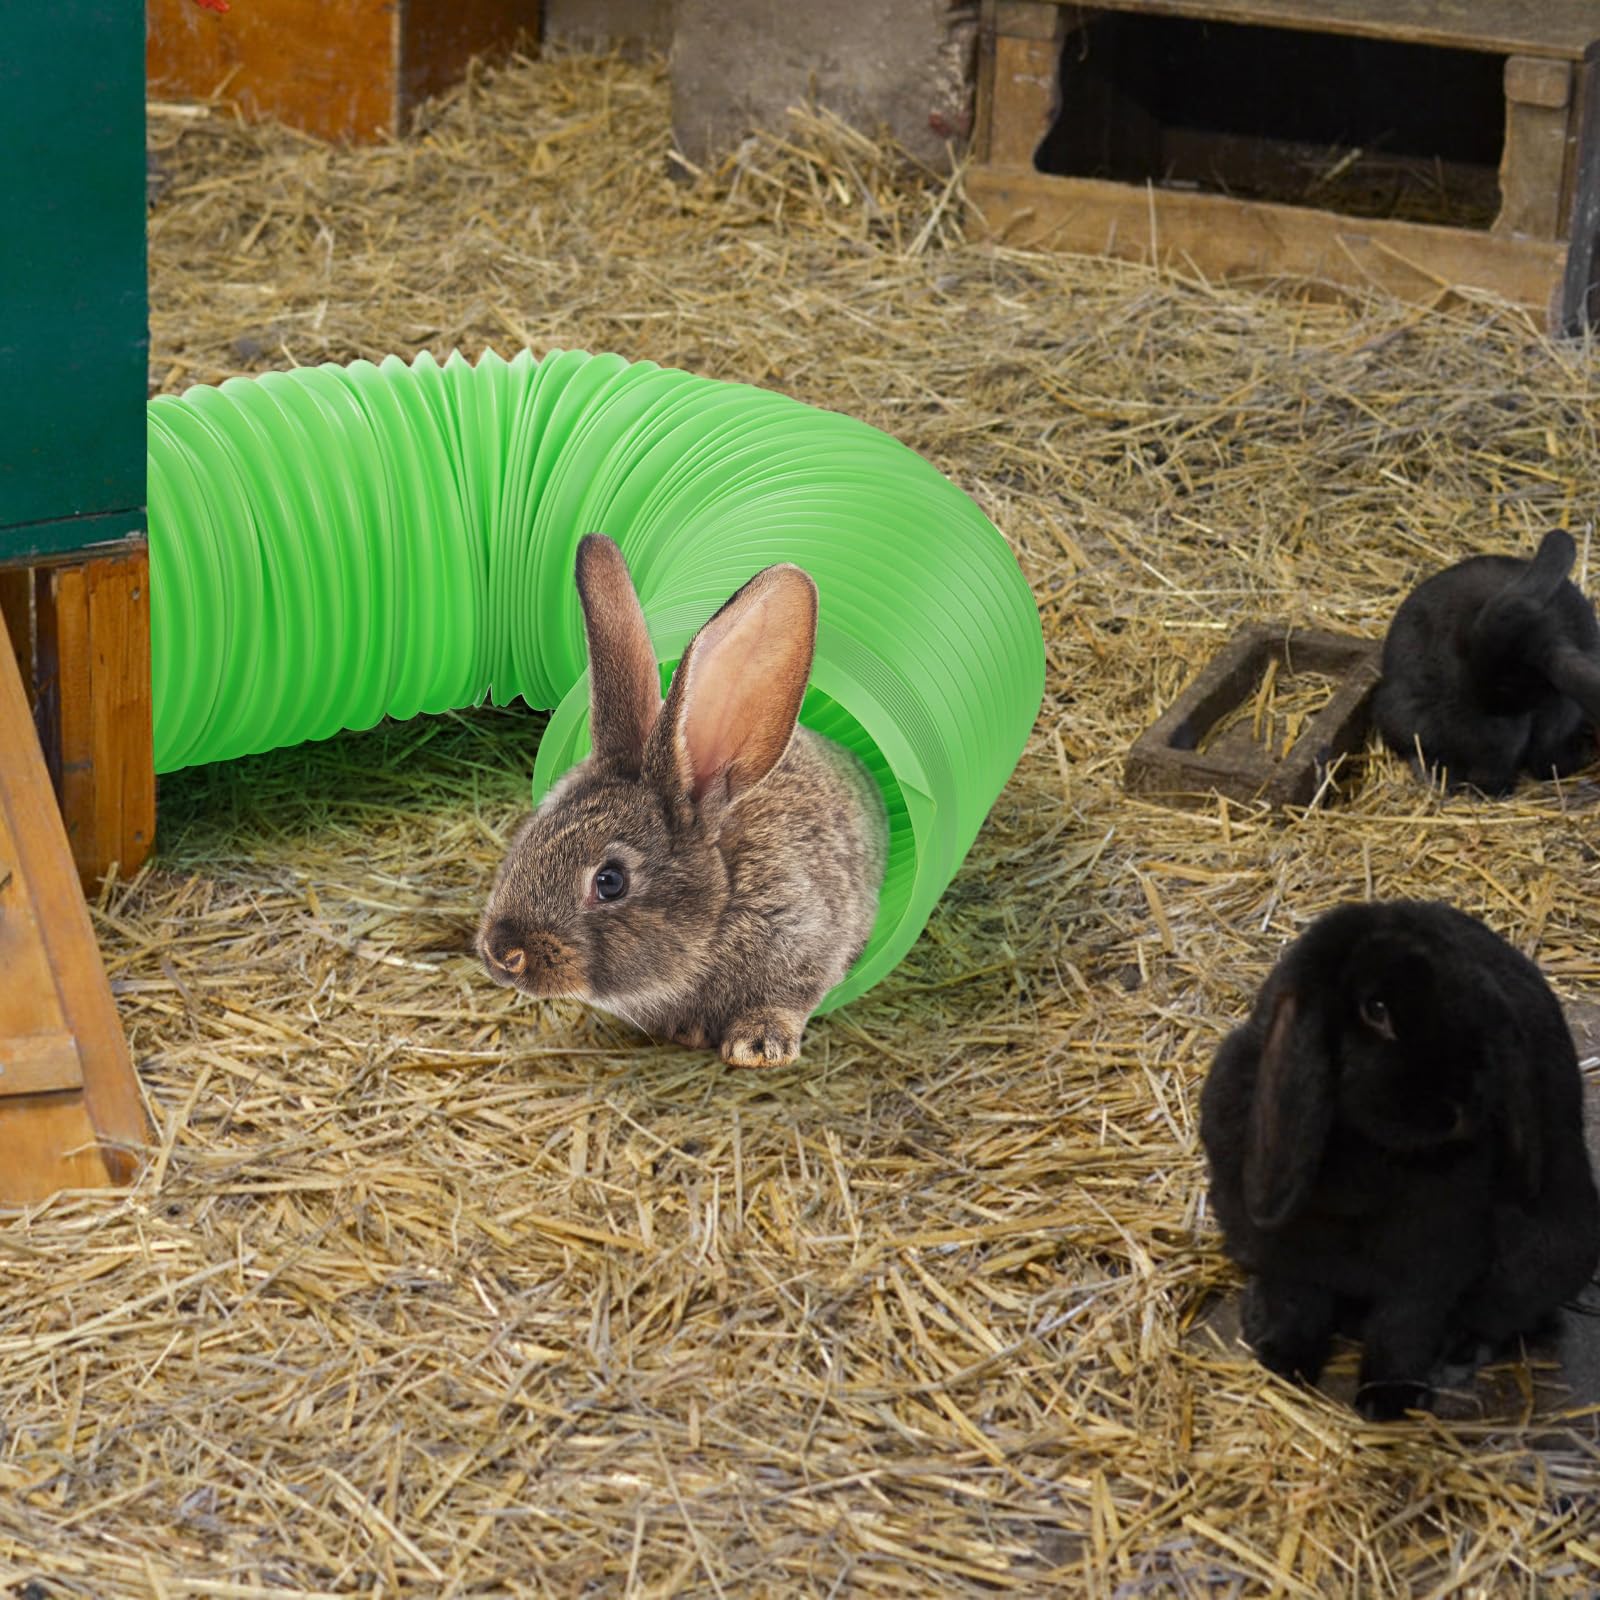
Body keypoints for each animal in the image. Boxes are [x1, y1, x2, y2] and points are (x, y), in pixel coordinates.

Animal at [477, 533, 888, 1068]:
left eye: (610, 881)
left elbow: (787, 998)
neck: (723, 899)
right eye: (527, 838)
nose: (501, 953)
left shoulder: (806, 941)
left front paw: (757, 1047)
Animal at [1200, 899, 1600, 1421]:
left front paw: (1388, 1400)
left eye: (1475, 1006)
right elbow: (1298, 1303)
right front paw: (1284, 1361)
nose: (1462, 1104)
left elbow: (1405, 1325)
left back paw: (1457, 1355)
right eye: (1377, 1010)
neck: (1366, 1150)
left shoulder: (1433, 1256)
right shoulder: (1286, 1249)